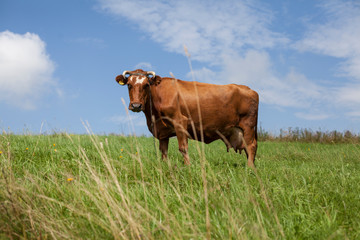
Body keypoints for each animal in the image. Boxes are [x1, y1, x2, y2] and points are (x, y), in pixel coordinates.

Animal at [115, 69, 258, 167]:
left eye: (146, 85)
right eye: (129, 84)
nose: (136, 105)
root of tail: (249, 89)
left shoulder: (180, 121)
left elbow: (183, 148)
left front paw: (187, 166)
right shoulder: (162, 131)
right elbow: (164, 151)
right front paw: (165, 165)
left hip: (248, 125)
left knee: (251, 146)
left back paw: (249, 168)